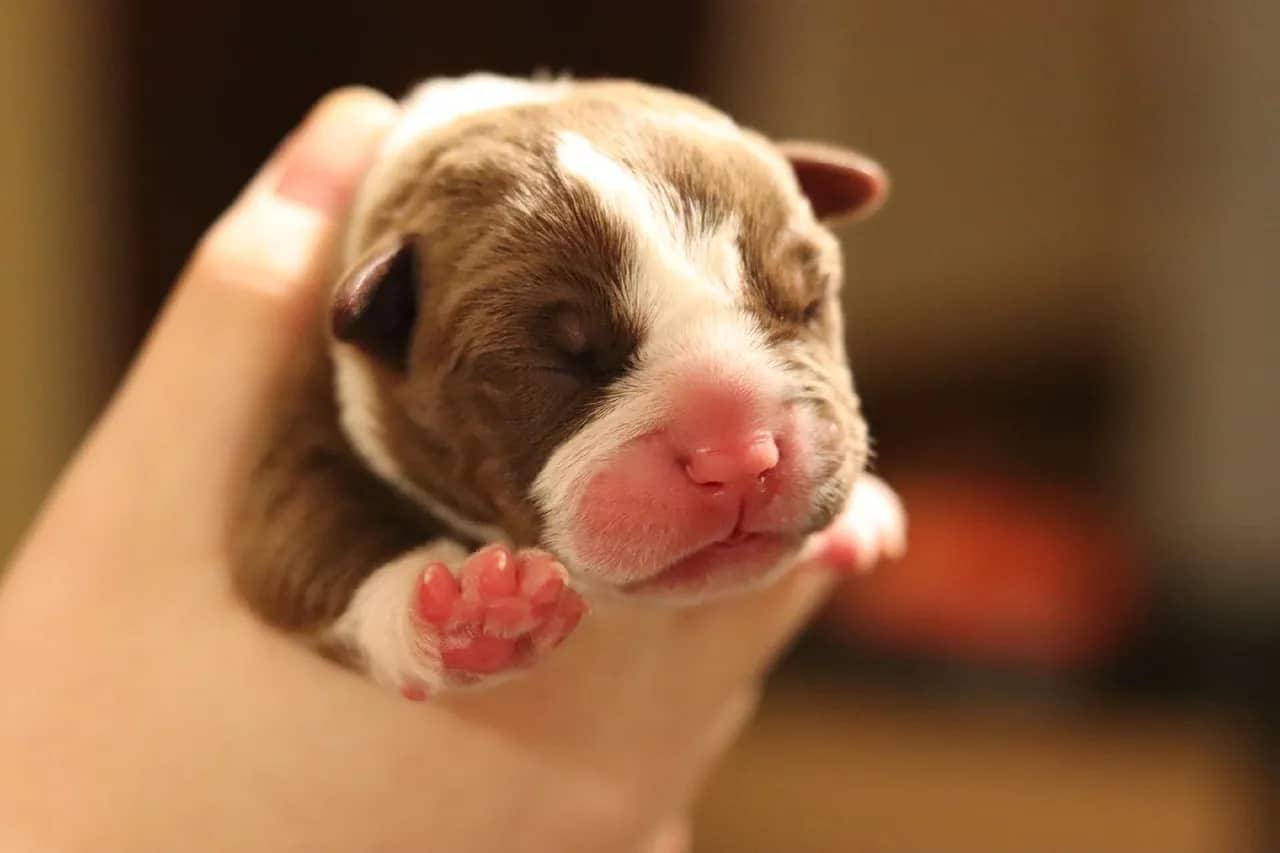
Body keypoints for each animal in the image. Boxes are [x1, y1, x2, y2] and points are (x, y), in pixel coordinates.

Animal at [235, 74, 906, 696]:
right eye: (559, 363)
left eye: (806, 303)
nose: (736, 459)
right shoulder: (304, 417)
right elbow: (303, 533)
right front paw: (467, 616)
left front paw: (865, 514)